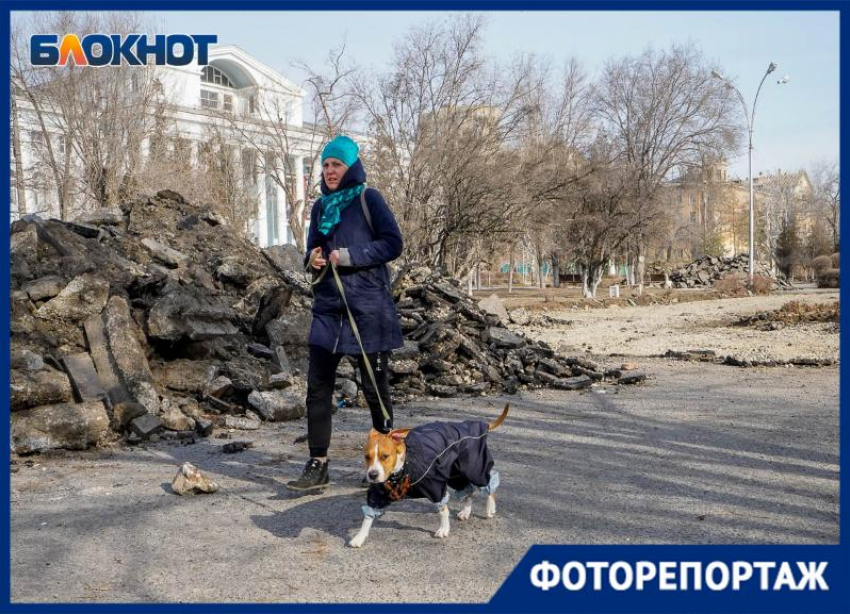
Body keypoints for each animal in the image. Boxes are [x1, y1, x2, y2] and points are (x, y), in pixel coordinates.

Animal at [348, 406, 506, 552]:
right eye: (366, 456)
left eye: (385, 456)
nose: (372, 475)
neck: (401, 470)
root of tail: (478, 425)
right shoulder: (377, 494)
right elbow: (368, 517)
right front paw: (359, 537)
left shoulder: (435, 488)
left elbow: (443, 510)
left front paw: (444, 529)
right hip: (456, 475)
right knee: (468, 490)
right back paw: (466, 511)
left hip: (474, 468)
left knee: (488, 485)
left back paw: (490, 508)